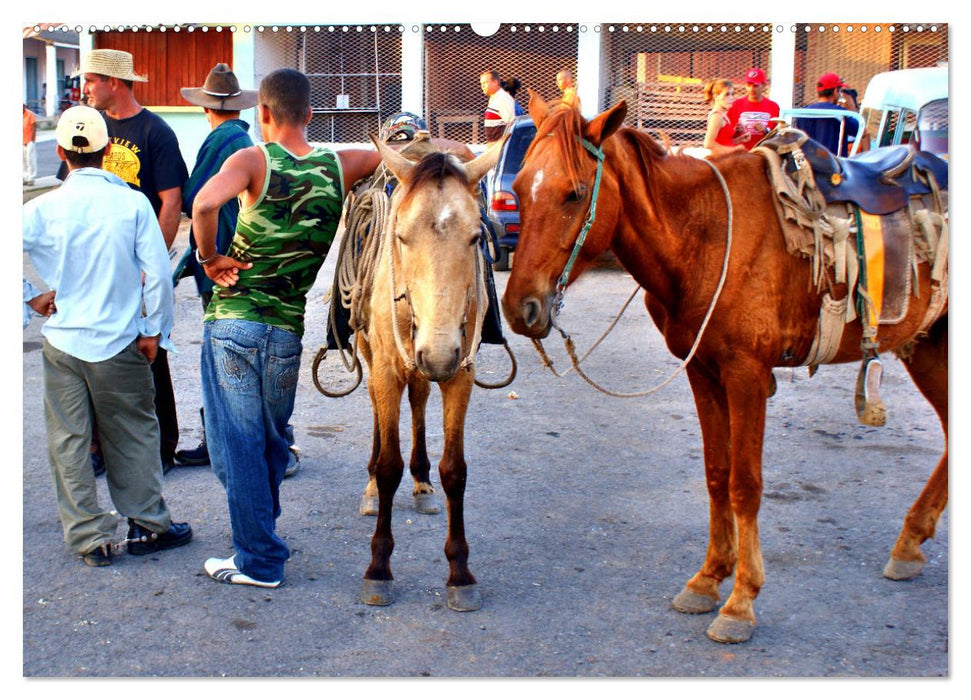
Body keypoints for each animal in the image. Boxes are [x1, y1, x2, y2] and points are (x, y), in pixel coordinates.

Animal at [356, 139, 498, 608]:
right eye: (401, 236)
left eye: (476, 237)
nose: (436, 353)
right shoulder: (387, 369)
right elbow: (388, 466)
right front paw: (379, 568)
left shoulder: (460, 373)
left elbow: (455, 469)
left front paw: (460, 572)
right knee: (379, 410)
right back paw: (369, 489)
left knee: (418, 399)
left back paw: (420, 483)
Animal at [502, 95, 948, 644]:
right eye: (520, 188)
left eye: (575, 193)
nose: (520, 308)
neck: (705, 238)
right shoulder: (702, 371)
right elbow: (716, 474)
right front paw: (708, 578)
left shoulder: (746, 375)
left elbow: (744, 484)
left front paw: (741, 601)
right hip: (927, 346)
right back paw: (909, 543)